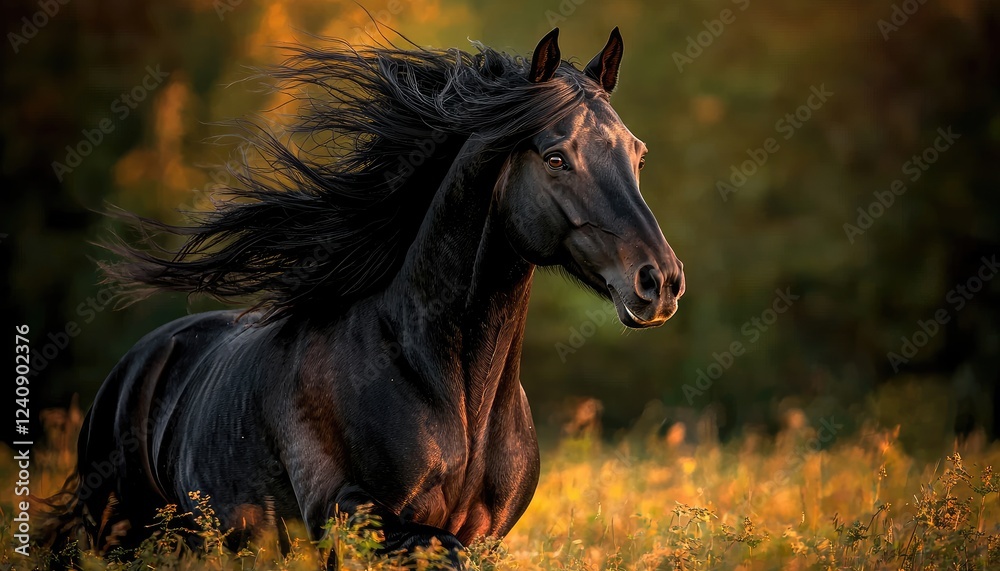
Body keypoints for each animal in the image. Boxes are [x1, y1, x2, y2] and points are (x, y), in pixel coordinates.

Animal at [38, 27, 685, 567]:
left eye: (637, 153)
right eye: (556, 157)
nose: (660, 282)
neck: (454, 394)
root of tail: (139, 362)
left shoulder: (484, 538)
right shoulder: (353, 516)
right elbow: (439, 548)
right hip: (121, 532)